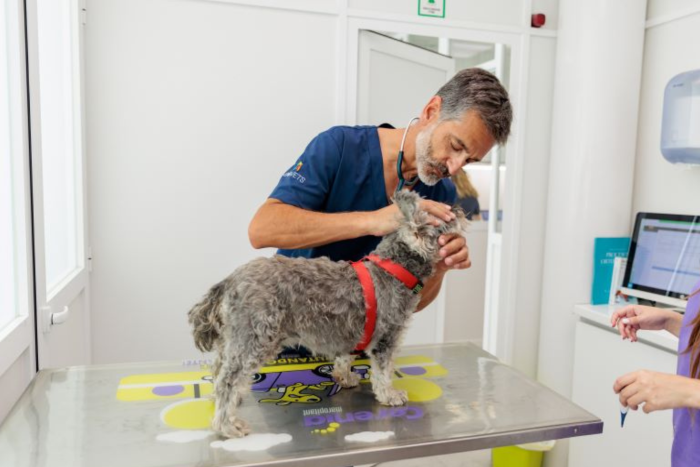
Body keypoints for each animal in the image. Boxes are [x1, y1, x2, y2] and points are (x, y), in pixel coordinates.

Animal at [188, 190, 468, 438]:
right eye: (441, 219)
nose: (457, 207)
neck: (393, 269)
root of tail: (230, 281)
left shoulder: (350, 332)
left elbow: (345, 357)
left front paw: (345, 377)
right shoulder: (386, 338)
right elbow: (383, 372)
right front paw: (390, 395)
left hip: (233, 339)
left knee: (218, 369)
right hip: (255, 338)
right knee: (228, 380)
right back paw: (227, 425)